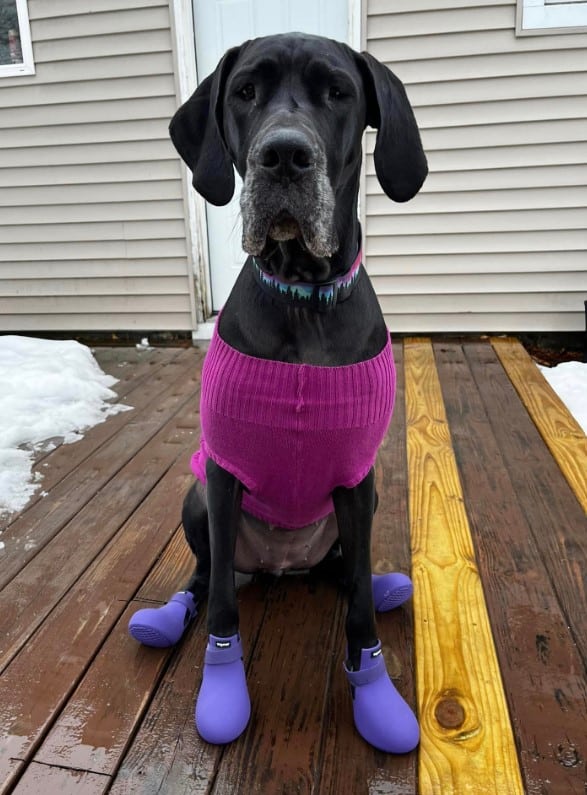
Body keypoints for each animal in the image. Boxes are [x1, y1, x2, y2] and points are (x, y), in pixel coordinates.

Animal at [130, 32, 428, 752]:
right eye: (245, 92)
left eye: (337, 92)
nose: (285, 155)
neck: (304, 298)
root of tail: (280, 565)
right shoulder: (225, 473)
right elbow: (220, 603)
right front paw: (223, 686)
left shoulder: (355, 477)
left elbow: (355, 607)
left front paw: (374, 692)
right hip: (197, 499)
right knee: (205, 579)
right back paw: (168, 616)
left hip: (359, 506)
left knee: (343, 571)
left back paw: (380, 584)